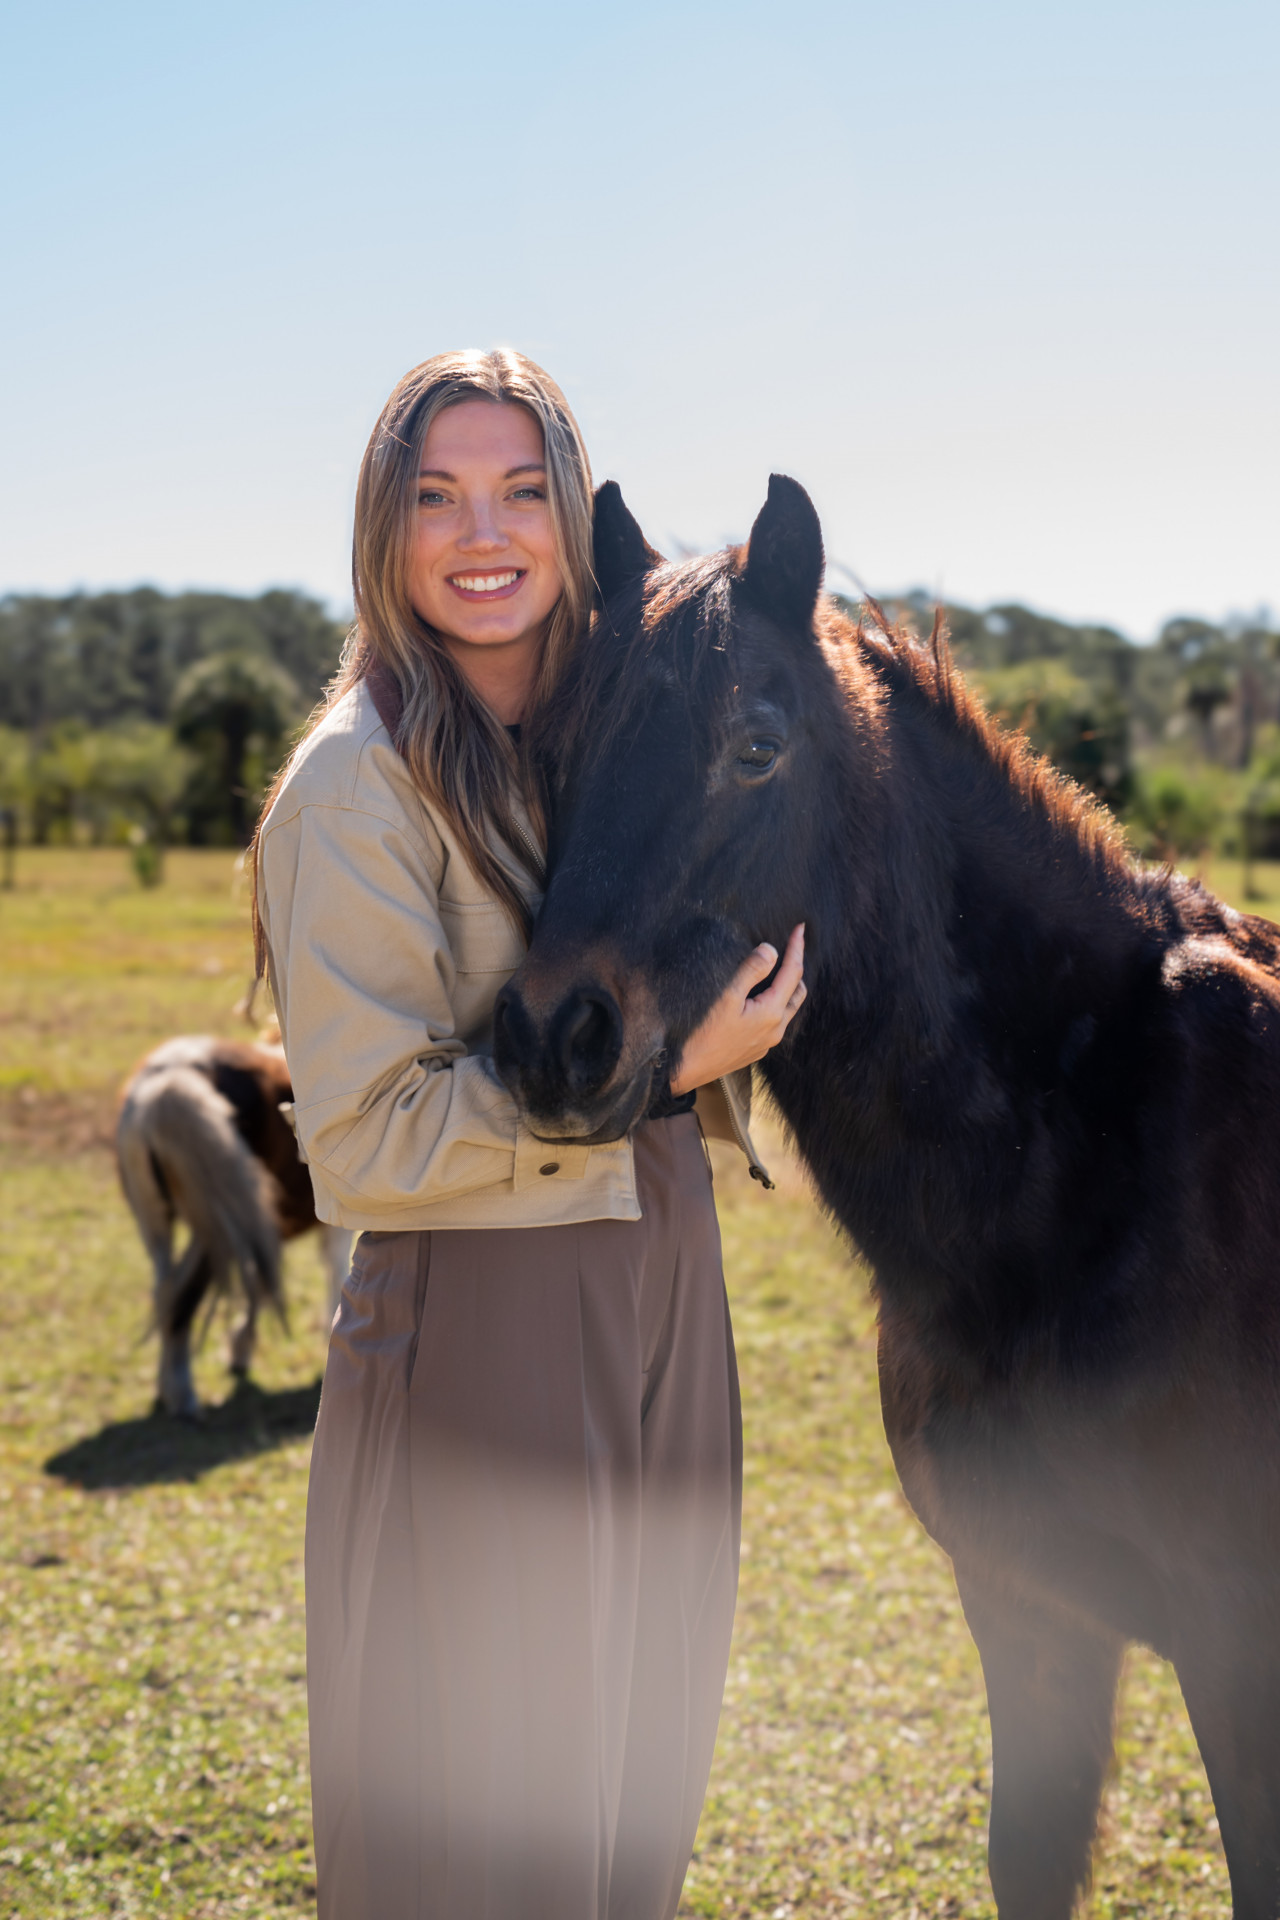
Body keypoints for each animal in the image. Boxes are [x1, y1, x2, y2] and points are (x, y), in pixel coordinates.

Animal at [117, 1032, 352, 1418]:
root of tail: (165, 1081)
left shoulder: (260, 1225)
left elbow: (262, 1278)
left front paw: (240, 1350)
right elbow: (334, 1276)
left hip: (157, 1224)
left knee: (164, 1289)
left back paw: (167, 1389)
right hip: (215, 1224)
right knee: (182, 1294)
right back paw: (183, 1396)